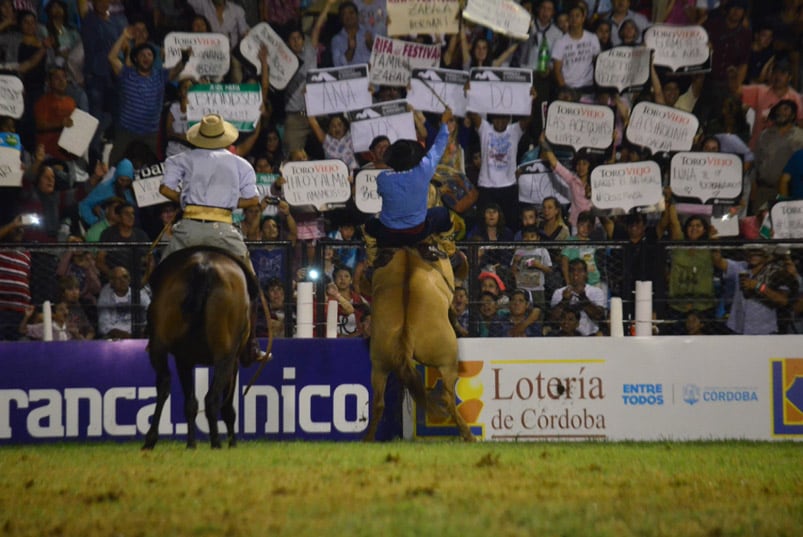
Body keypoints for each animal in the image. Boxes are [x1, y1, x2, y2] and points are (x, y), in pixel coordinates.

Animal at [143, 247, 258, 448]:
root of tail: (203, 268)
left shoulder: (184, 359)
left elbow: (190, 403)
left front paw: (191, 444)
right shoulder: (234, 361)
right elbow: (227, 406)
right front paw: (232, 442)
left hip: (159, 344)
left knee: (163, 385)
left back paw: (151, 439)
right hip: (225, 355)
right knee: (212, 399)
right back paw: (216, 443)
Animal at [362, 246, 472, 440]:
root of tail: (404, 335)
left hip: (379, 365)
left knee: (378, 403)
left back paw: (367, 439)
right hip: (448, 361)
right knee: (447, 398)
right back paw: (468, 435)